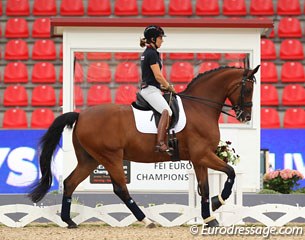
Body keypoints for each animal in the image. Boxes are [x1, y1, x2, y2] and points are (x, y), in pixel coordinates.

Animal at [28, 65, 258, 229]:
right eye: (248, 89)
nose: (245, 116)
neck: (200, 107)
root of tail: (81, 115)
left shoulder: (198, 158)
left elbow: (205, 187)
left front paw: (210, 218)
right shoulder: (203, 155)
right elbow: (230, 173)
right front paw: (218, 202)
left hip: (90, 159)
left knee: (70, 183)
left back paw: (69, 222)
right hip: (110, 157)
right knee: (120, 188)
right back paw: (146, 220)